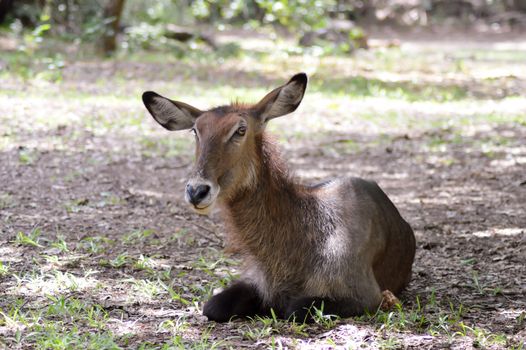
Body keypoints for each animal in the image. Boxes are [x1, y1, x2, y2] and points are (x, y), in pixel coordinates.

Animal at [142, 74, 418, 322]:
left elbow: (294, 308)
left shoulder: (366, 295)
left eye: (240, 129)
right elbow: (213, 306)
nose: (197, 190)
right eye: (195, 131)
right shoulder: (256, 281)